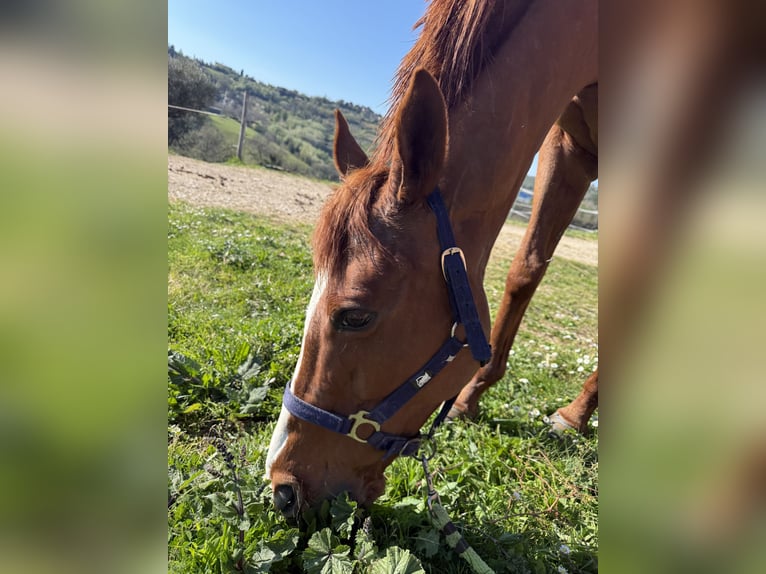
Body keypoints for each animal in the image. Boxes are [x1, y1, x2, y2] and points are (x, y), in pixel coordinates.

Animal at [265, 0, 597, 517]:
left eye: (355, 316)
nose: (282, 487)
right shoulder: (569, 145)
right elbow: (526, 269)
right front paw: (471, 396)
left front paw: (575, 414)